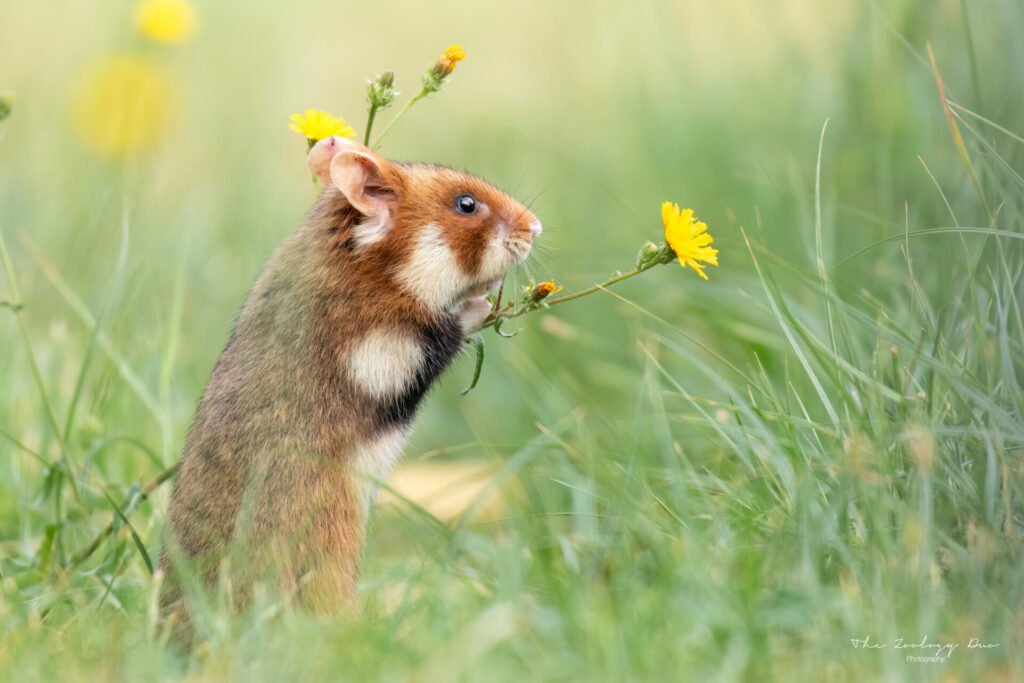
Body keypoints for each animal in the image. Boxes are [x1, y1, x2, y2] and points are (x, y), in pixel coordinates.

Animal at [159, 136, 541, 627]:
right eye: (466, 204)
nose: (536, 228)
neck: (373, 267)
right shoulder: (381, 346)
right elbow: (447, 328)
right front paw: (482, 304)